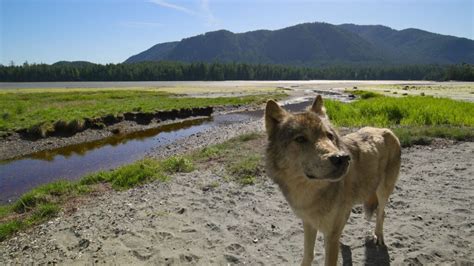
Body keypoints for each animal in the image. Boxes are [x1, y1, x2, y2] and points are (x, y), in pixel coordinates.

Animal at [264, 94, 402, 264]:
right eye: (301, 139)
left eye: (329, 136)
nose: (343, 158)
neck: (309, 194)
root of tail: (386, 130)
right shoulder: (308, 223)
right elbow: (308, 255)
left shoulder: (330, 236)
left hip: (383, 192)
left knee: (382, 212)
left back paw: (378, 236)